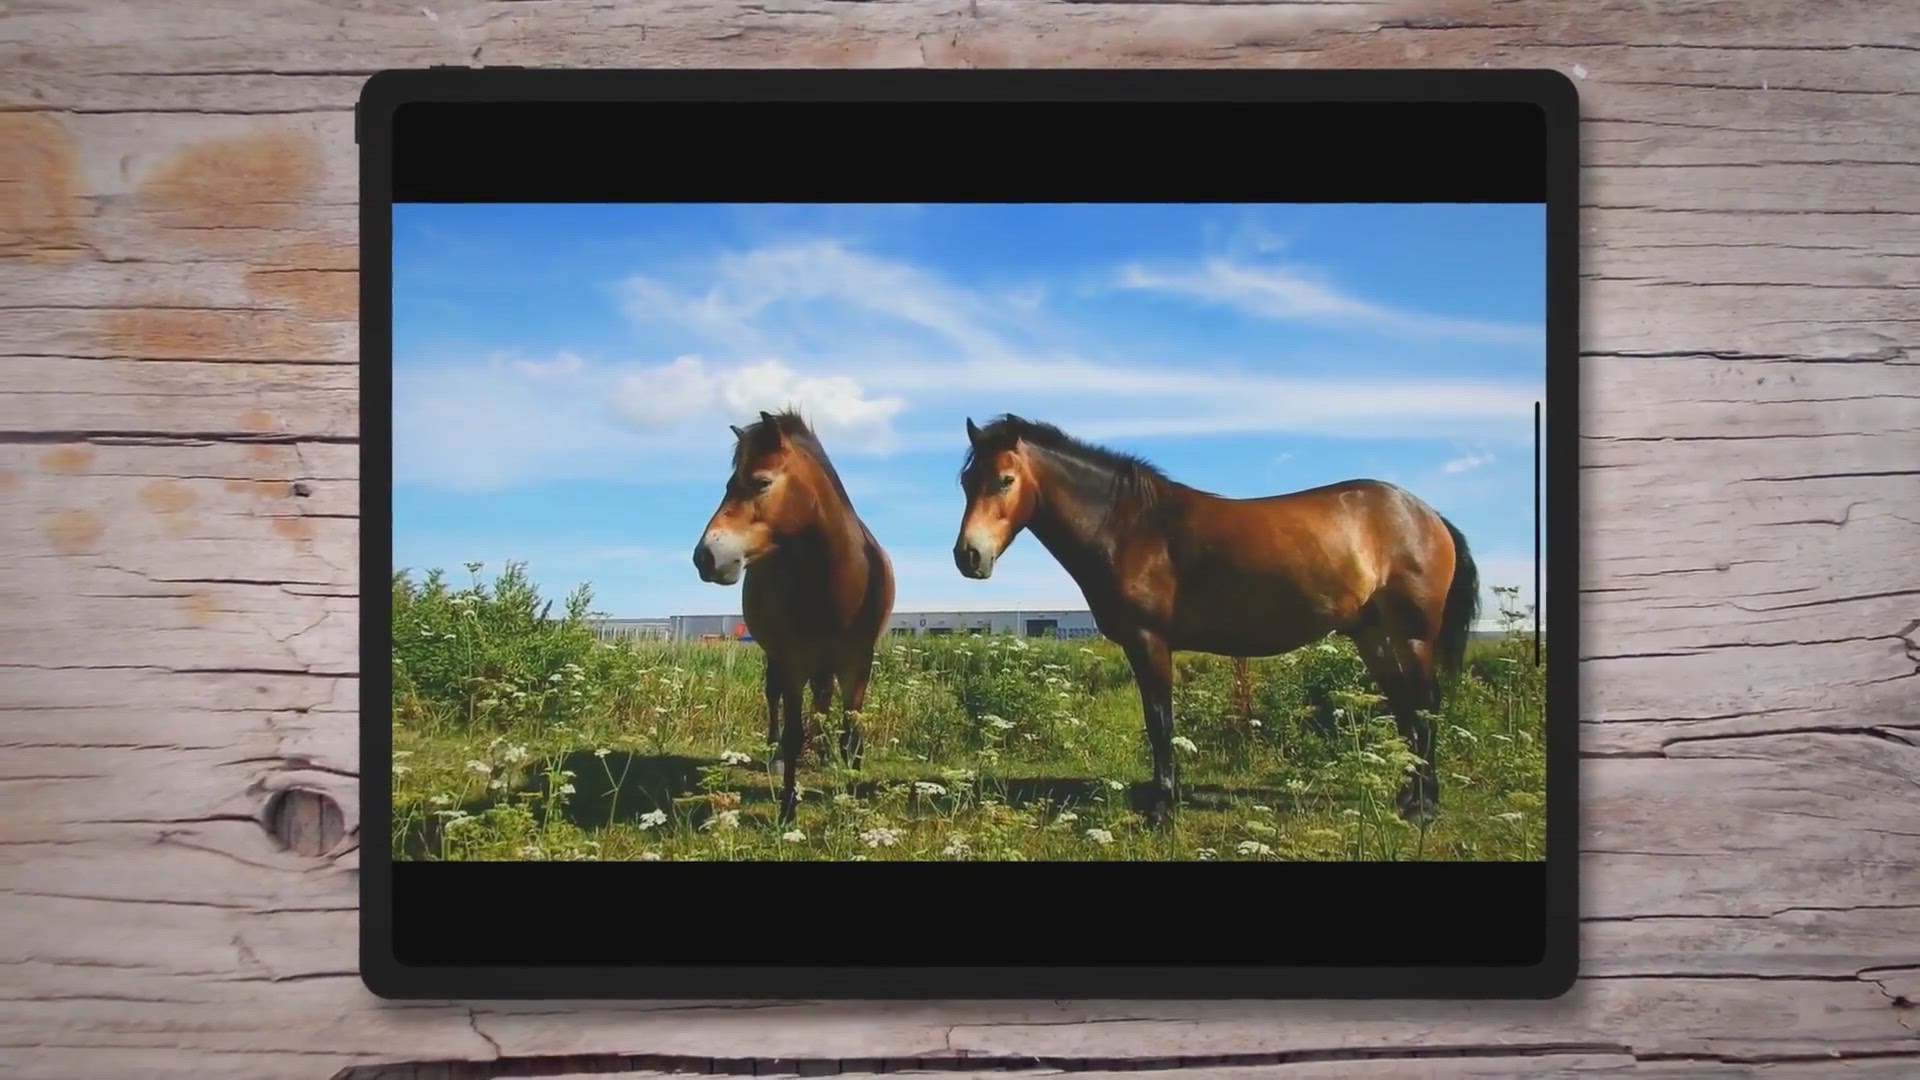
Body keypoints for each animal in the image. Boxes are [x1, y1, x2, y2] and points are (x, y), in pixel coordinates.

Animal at [692, 409, 895, 825]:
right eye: (728, 484)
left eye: (761, 482)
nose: (705, 556)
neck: (837, 578)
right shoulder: (794, 660)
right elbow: (792, 730)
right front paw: (787, 807)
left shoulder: (858, 661)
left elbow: (851, 732)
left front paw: (850, 794)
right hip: (778, 655)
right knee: (775, 698)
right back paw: (779, 756)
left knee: (822, 701)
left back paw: (823, 753)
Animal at [951, 414, 1479, 828]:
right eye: (966, 481)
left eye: (1004, 479)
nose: (968, 556)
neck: (1131, 527)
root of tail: (1427, 514)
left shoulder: (1149, 642)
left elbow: (1160, 722)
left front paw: (1162, 810)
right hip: (1375, 637)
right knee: (1407, 709)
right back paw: (1407, 798)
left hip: (1411, 637)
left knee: (1425, 707)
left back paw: (1422, 808)